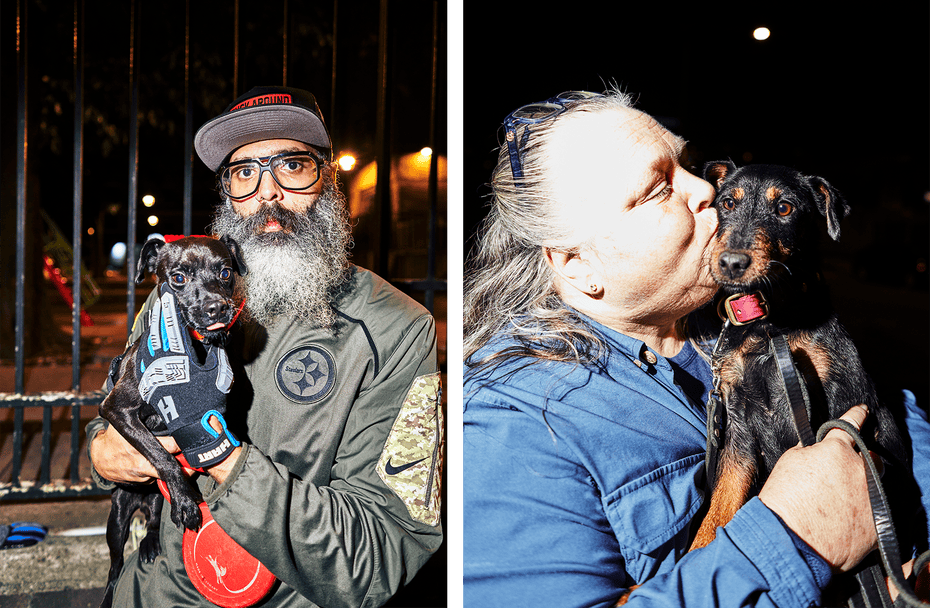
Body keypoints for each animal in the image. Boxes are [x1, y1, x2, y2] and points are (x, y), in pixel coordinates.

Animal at [99, 236, 246, 608]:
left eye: (225, 273)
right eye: (178, 278)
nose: (218, 308)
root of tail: (138, 500)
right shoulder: (116, 409)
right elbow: (162, 456)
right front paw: (185, 499)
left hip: (153, 501)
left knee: (152, 521)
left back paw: (151, 543)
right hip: (117, 515)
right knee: (115, 564)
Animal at [688, 162, 908, 552]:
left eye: (784, 208)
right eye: (727, 202)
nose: (731, 263)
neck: (769, 321)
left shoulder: (833, 403)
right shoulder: (738, 428)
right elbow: (718, 511)